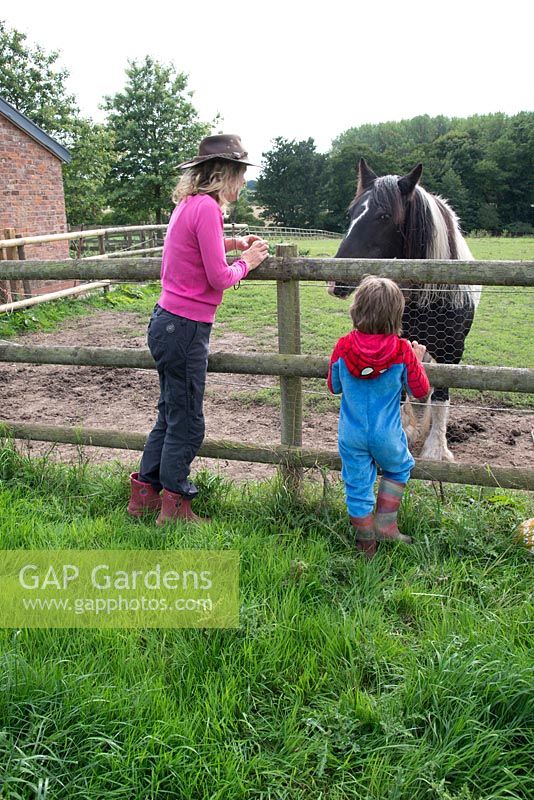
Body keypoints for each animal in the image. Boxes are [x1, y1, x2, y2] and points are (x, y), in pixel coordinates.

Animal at [328, 159, 484, 460]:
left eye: (385, 216)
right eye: (351, 213)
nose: (334, 281)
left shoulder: (452, 352)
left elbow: (441, 395)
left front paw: (436, 450)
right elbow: (397, 391)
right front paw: (403, 431)